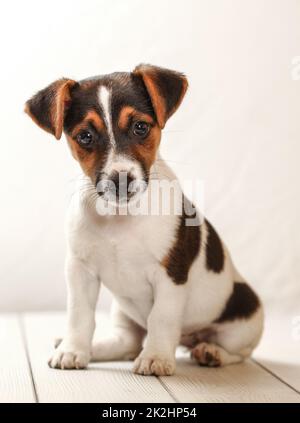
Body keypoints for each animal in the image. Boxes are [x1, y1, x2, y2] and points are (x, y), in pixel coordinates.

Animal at [26, 64, 264, 376]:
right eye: (85, 136)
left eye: (140, 127)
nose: (121, 180)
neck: (121, 216)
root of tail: (189, 338)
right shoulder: (80, 270)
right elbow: (79, 315)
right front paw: (72, 349)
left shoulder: (170, 275)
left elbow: (161, 318)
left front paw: (156, 358)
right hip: (122, 312)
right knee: (127, 344)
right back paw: (85, 347)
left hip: (244, 324)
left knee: (239, 353)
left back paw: (211, 352)